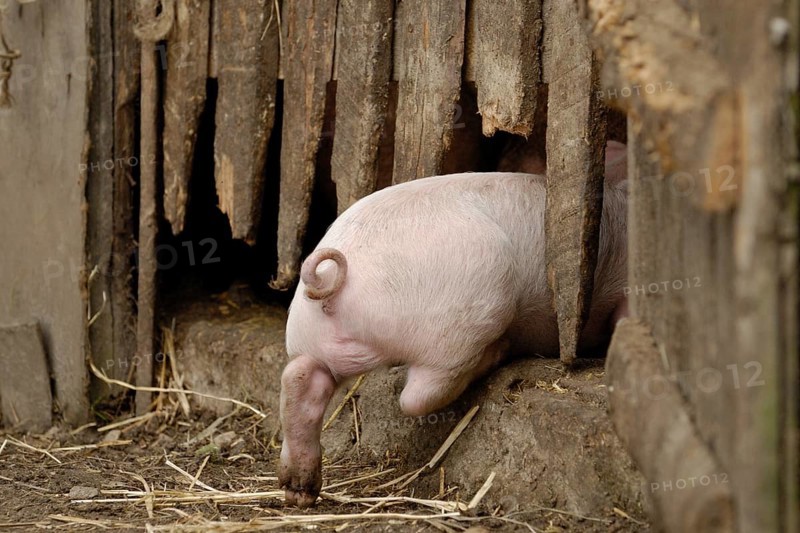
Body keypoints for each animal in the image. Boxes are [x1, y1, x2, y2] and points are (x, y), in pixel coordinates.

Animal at [278, 142, 629, 507]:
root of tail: (331, 278)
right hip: (463, 317)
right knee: (418, 395)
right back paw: (497, 351)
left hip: (315, 340)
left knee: (301, 378)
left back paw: (299, 491)